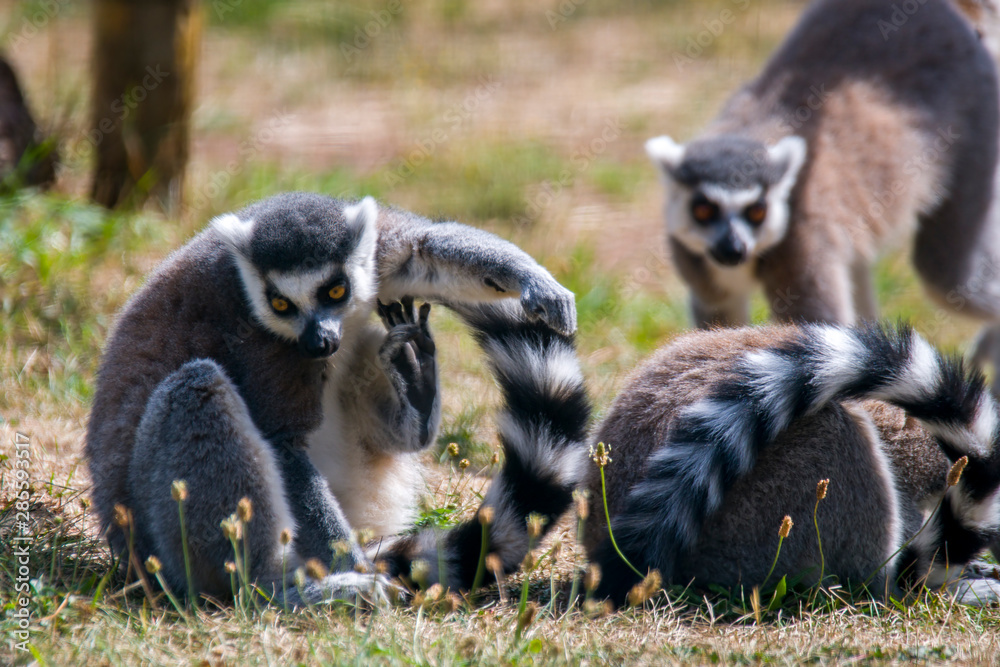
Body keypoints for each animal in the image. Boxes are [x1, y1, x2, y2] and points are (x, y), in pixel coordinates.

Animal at [85, 191, 590, 604]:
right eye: (281, 304)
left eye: (335, 290)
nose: (320, 341)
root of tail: (124, 545)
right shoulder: (257, 337)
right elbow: (283, 441)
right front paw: (358, 571)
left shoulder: (377, 255)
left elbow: (421, 250)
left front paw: (528, 276)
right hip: (162, 533)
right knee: (195, 389)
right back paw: (275, 589)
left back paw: (416, 392)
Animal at [644, 0, 1000, 355]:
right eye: (703, 210)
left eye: (757, 211)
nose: (733, 249)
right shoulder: (696, 260)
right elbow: (717, 316)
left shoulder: (802, 243)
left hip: (978, 127)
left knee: (951, 279)